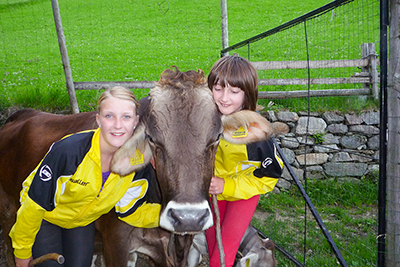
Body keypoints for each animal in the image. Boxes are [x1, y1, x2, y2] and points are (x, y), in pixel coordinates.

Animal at [0, 67, 276, 267]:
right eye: (152, 139)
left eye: (217, 137)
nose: (188, 217)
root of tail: (20, 116)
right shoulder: (117, 245)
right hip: (9, 213)